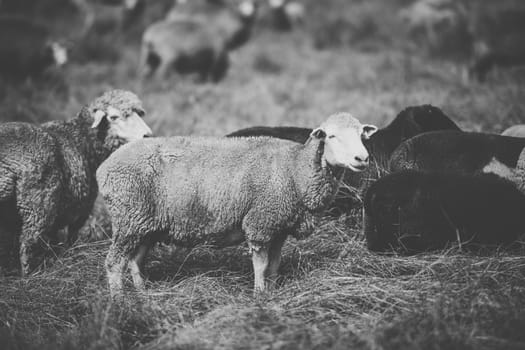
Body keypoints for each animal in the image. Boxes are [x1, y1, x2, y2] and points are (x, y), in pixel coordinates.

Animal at [0, 89, 151, 274]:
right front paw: (71, 255)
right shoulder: (82, 206)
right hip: (38, 205)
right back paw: (30, 275)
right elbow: (71, 236)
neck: (82, 138)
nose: (147, 135)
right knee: (27, 245)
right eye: (114, 117)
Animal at [97, 111, 376, 296]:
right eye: (331, 136)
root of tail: (105, 168)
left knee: (135, 260)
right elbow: (261, 266)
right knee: (114, 262)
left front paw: (271, 292)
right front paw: (259, 296)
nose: (362, 158)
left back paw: (142, 293)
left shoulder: (278, 227)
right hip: (128, 218)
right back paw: (119, 300)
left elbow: (274, 265)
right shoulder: (260, 223)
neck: (296, 169)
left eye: (362, 135)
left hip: (145, 223)